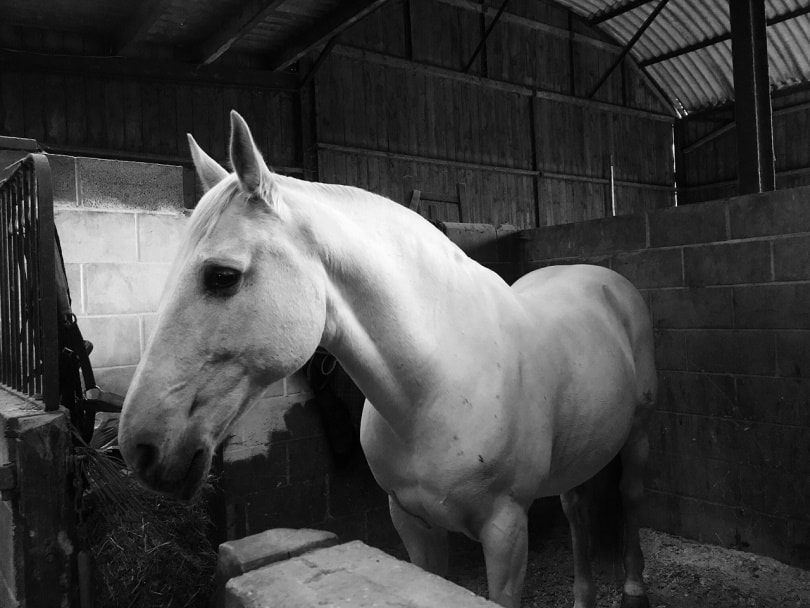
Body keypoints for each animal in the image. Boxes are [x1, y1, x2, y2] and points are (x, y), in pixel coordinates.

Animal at [118, 110, 656, 608]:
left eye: (222, 276)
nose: (139, 448)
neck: (437, 384)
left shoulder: (505, 530)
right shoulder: (412, 522)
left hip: (637, 435)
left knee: (631, 497)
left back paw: (633, 587)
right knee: (577, 510)